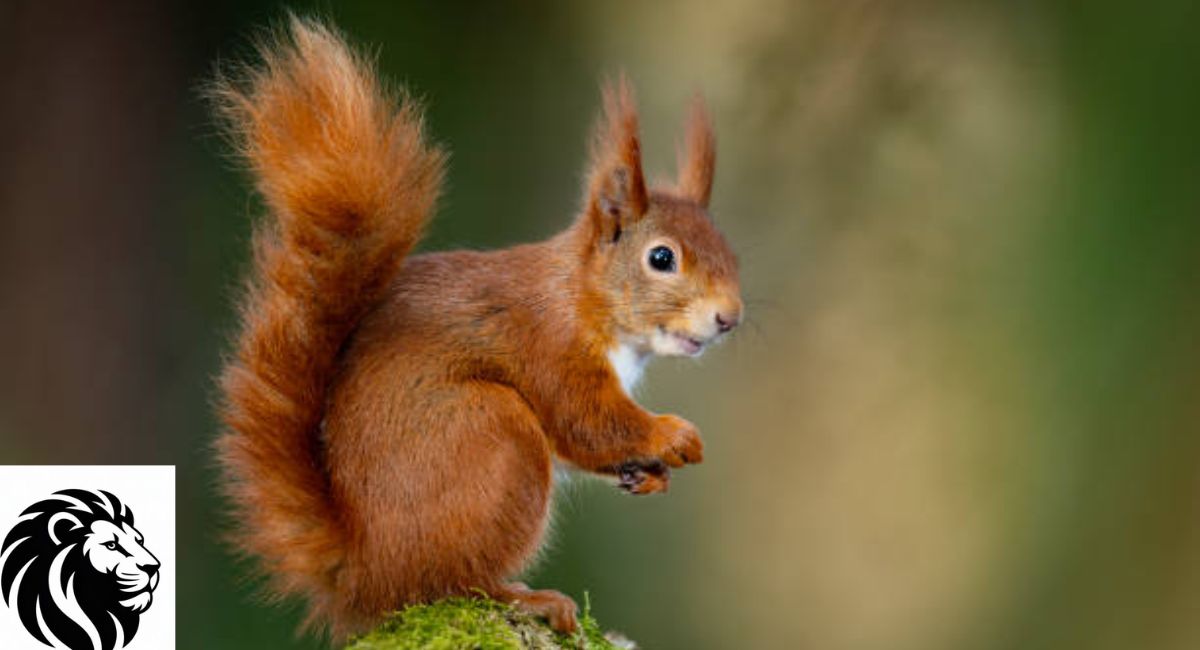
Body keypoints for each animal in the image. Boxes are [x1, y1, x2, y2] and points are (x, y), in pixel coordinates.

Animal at [213, 17, 742, 640]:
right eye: (662, 258)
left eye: (730, 252)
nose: (729, 317)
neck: (585, 298)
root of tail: (363, 574)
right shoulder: (550, 344)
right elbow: (589, 420)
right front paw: (674, 435)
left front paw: (652, 474)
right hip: (492, 436)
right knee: (449, 584)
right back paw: (528, 598)